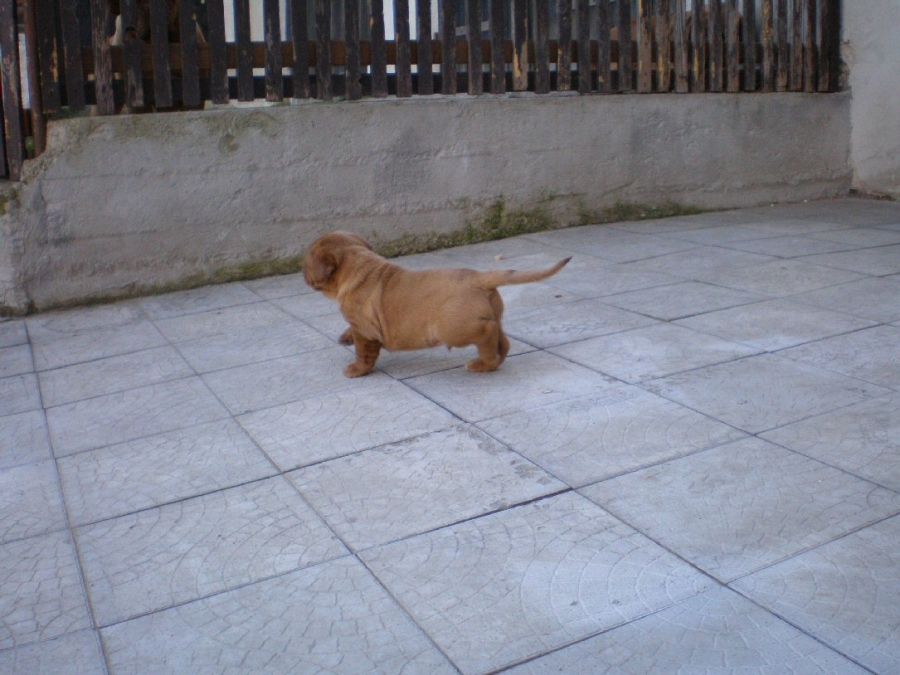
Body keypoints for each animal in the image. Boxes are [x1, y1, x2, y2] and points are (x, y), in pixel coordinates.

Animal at [304, 231, 571, 377]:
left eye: (307, 262)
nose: (302, 273)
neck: (358, 265)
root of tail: (479, 277)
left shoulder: (365, 330)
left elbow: (363, 353)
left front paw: (356, 369)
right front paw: (344, 337)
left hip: (452, 327)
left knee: (488, 333)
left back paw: (481, 363)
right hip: (492, 313)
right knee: (502, 338)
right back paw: (496, 360)